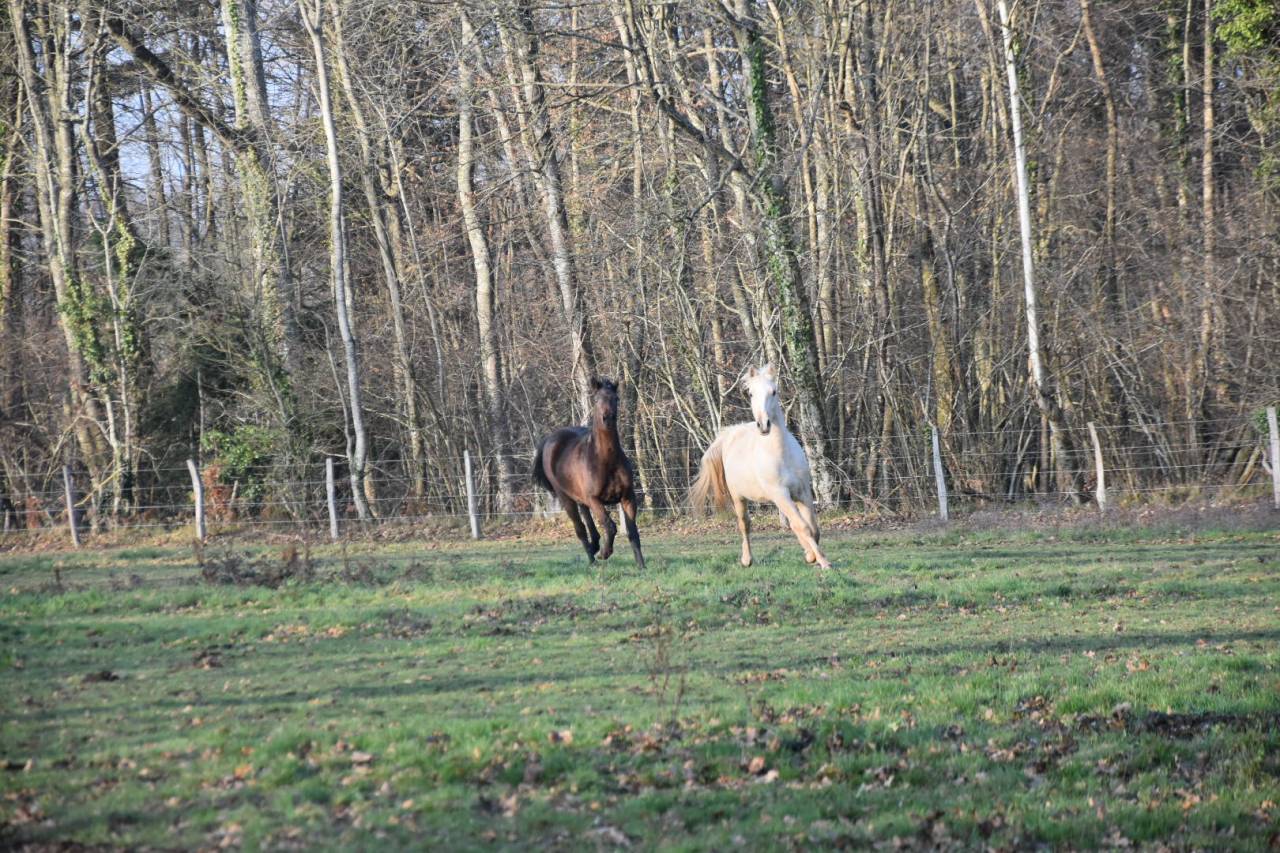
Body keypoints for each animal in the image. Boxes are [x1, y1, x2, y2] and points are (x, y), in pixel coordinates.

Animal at [531, 377, 646, 568]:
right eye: (597, 399)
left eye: (616, 398)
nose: (608, 418)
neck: (606, 460)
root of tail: (550, 439)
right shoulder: (595, 499)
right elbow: (610, 525)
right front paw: (604, 553)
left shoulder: (628, 497)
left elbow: (632, 531)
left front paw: (641, 566)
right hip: (566, 498)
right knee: (580, 529)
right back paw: (592, 560)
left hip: (580, 498)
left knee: (588, 522)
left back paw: (594, 546)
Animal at [690, 364, 831, 569]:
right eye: (750, 393)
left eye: (774, 391)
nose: (763, 425)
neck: (782, 455)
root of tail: (732, 432)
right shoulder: (779, 494)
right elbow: (803, 526)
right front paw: (823, 561)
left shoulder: (803, 492)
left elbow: (812, 528)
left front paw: (810, 556)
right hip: (739, 497)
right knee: (745, 525)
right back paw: (746, 559)